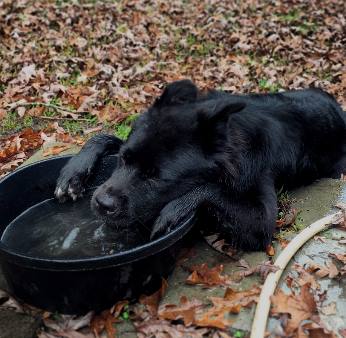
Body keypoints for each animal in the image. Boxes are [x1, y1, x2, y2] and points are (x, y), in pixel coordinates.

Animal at [54, 80, 346, 251]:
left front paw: (175, 210)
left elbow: (210, 189)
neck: (230, 140)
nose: (102, 204)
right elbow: (104, 137)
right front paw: (73, 174)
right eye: (124, 159)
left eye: (155, 178)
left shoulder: (262, 221)